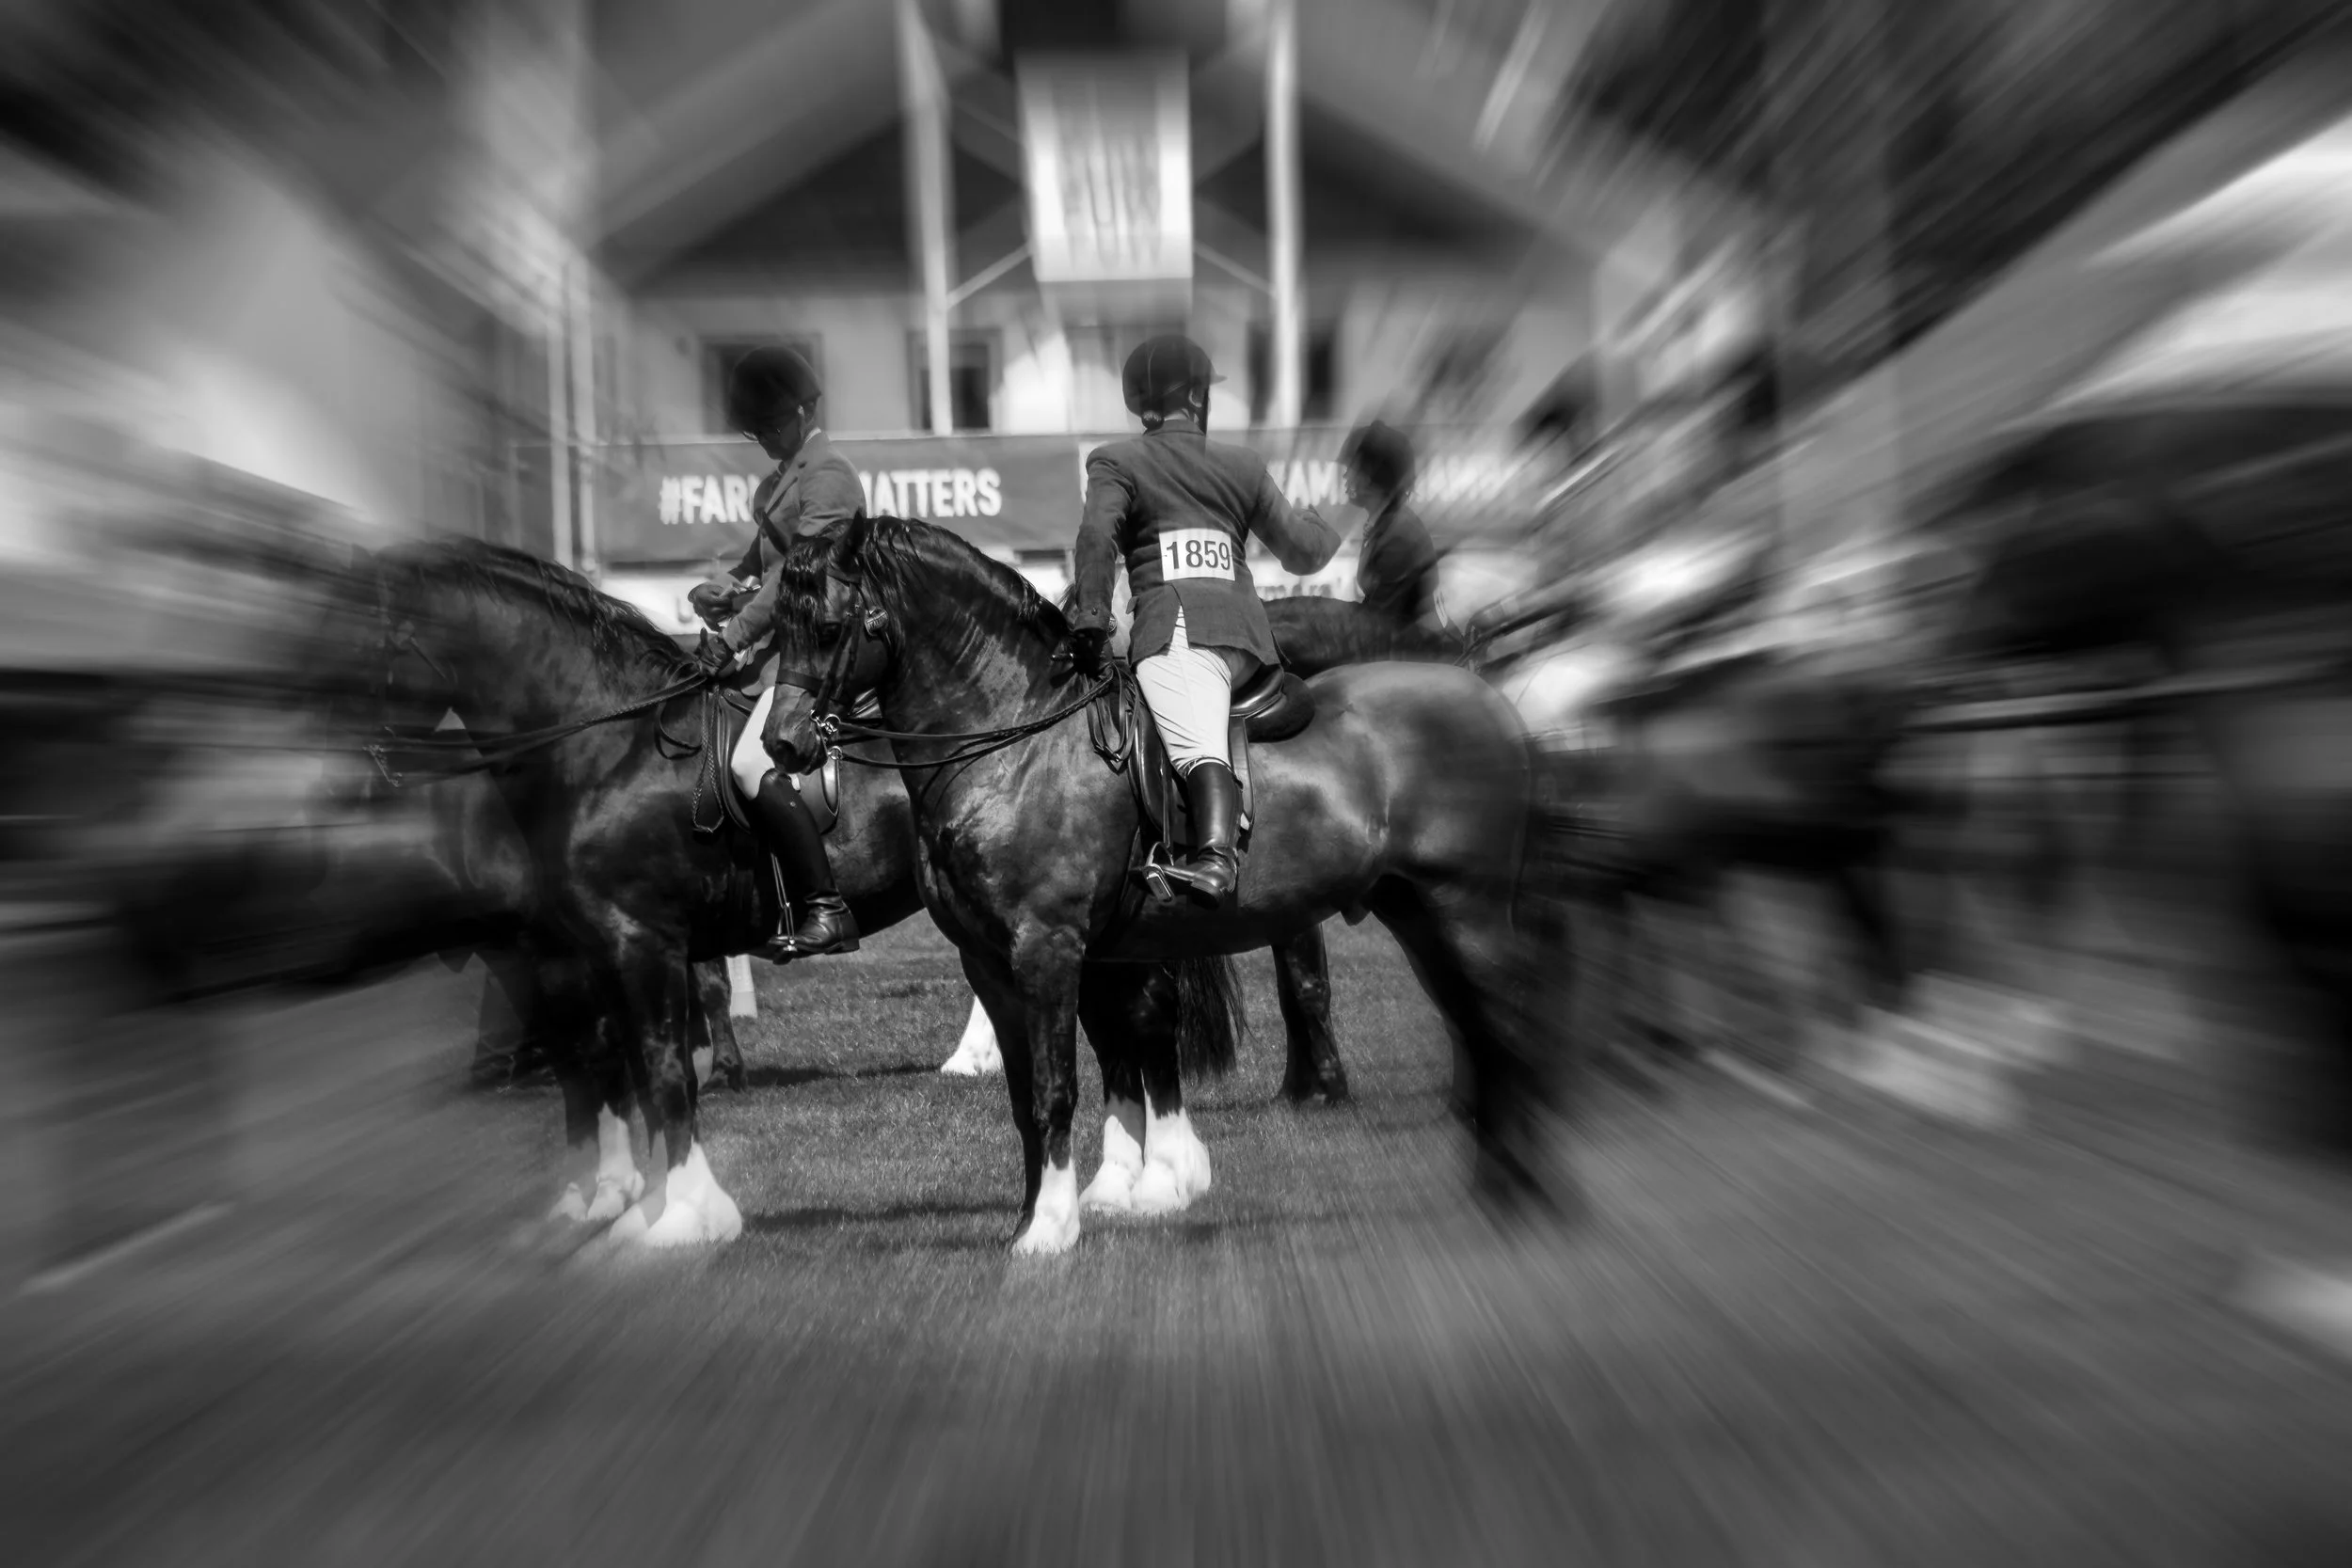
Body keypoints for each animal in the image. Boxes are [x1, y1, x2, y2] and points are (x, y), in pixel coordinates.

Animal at [759, 515, 1574, 1254]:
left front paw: (1051, 1233)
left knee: (1509, 1033)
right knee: (1480, 1035)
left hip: (1468, 914)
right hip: (1421, 916)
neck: (1014, 740)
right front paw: (1031, 1221)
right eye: (778, 628)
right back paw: (1491, 1194)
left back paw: (1521, 1198)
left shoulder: (1049, 949)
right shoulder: (990, 963)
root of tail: (1485, 697)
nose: (782, 743)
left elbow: (1058, 1088)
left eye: (827, 627)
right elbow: (1027, 1098)